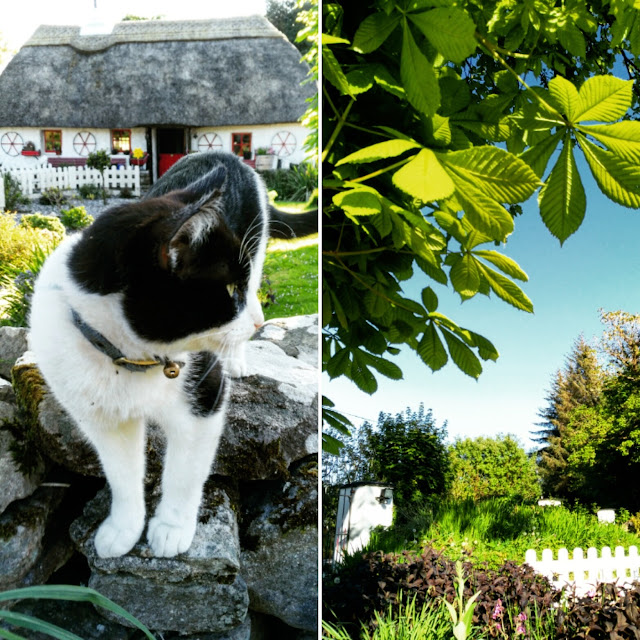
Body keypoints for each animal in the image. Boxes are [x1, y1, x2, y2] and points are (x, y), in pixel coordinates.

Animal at [28, 152, 316, 556]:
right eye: (230, 289)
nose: (260, 322)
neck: (132, 359)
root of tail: (223, 155)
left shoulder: (205, 393)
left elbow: (185, 472)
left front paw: (171, 529)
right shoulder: (99, 419)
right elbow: (120, 472)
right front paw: (123, 528)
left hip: (257, 243)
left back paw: (236, 360)